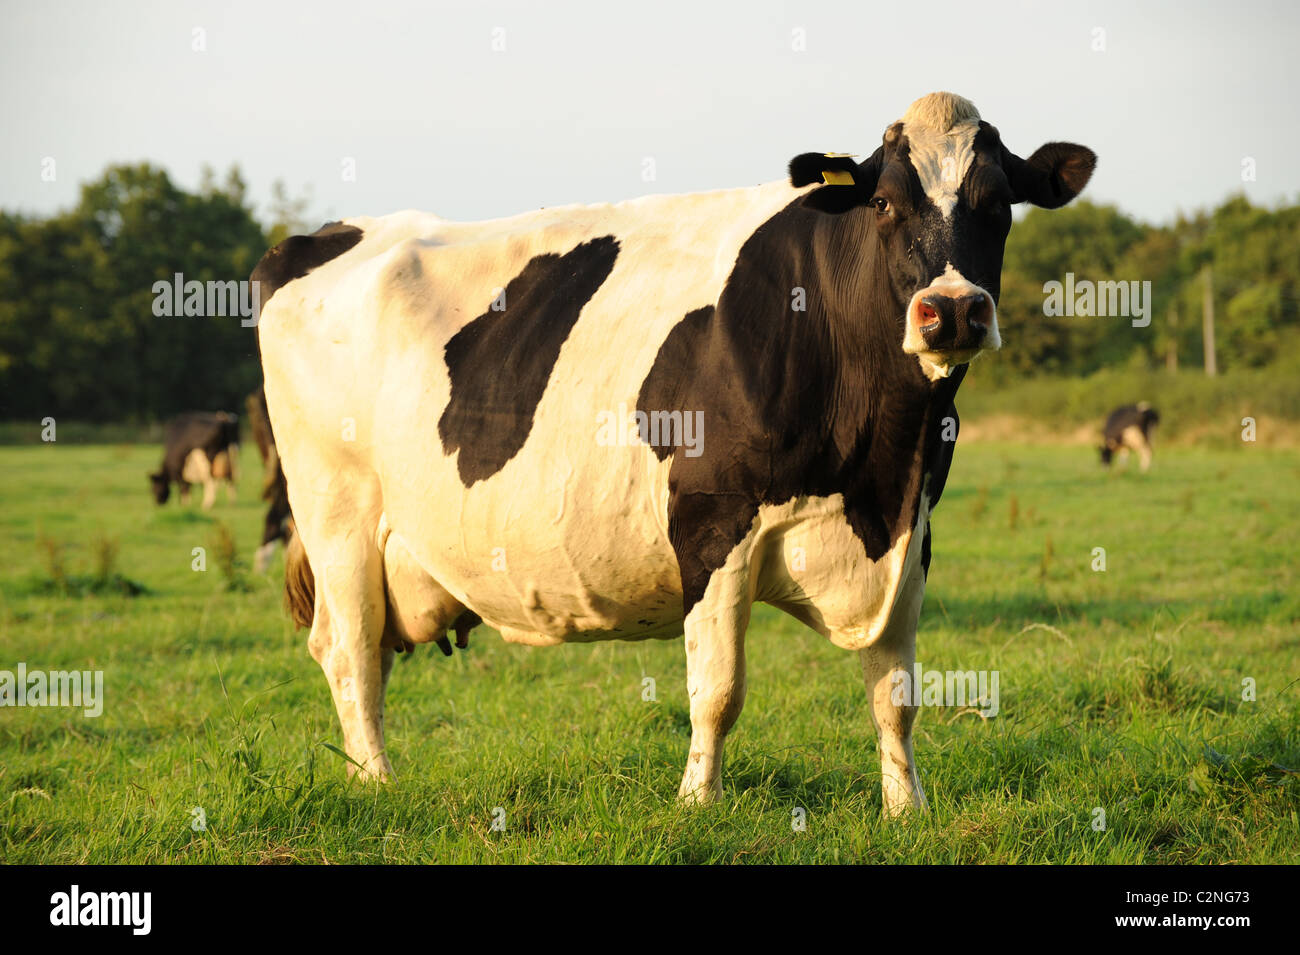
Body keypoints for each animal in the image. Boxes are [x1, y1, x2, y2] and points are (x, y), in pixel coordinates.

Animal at [256, 91, 1097, 815]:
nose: (951, 309)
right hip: (336, 512)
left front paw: (905, 808)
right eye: (885, 201)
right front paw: (698, 800)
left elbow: (895, 693)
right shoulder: (711, 520)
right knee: (350, 649)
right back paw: (374, 780)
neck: (882, 457)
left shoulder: (909, 528)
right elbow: (718, 687)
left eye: (999, 204)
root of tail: (327, 234)